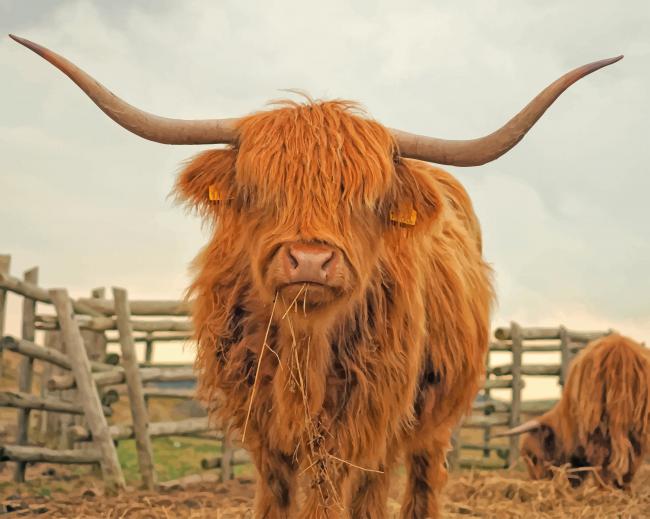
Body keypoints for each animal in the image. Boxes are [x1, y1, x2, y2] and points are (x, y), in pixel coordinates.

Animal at [11, 35, 621, 518]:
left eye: (365, 198)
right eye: (260, 190)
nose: (308, 260)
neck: (304, 351)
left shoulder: (359, 426)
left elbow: (338, 498)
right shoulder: (261, 429)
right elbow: (278, 496)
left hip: (430, 420)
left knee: (416, 482)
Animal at [497, 334, 650, 489]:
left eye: (534, 458)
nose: (537, 481)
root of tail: (619, 348)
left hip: (598, 425)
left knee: (604, 457)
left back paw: (603, 487)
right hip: (638, 427)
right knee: (632, 458)